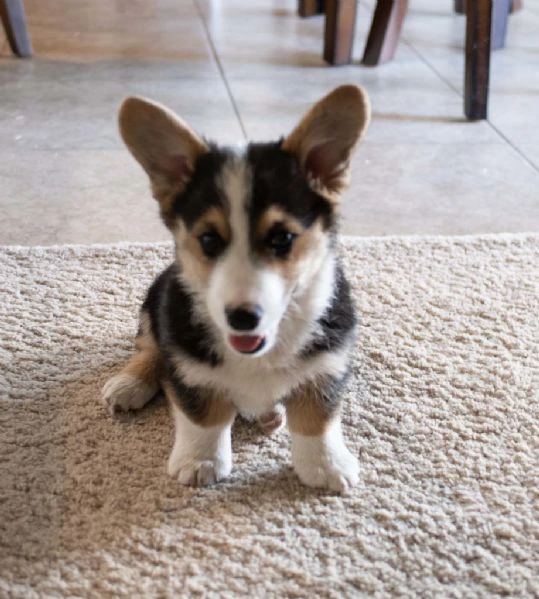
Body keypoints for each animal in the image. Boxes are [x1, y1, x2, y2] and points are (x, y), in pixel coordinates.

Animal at [102, 84, 372, 492]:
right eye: (209, 240)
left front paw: (325, 466)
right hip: (157, 298)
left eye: (282, 238)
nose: (242, 318)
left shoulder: (328, 361)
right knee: (150, 347)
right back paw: (129, 383)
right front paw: (200, 461)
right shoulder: (187, 358)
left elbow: (318, 416)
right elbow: (201, 412)